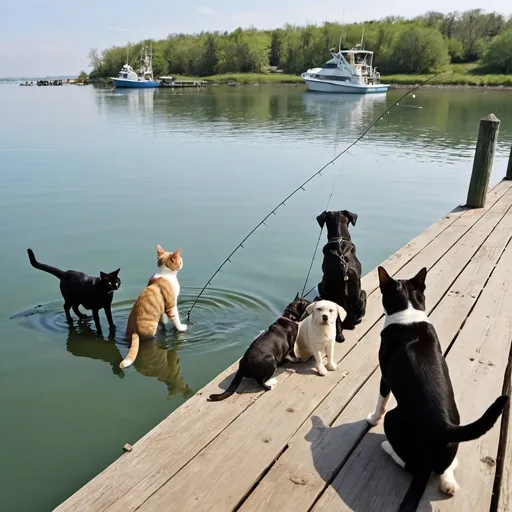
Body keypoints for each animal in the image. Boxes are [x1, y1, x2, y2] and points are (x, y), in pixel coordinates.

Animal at [368, 266, 508, 510]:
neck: (408, 311)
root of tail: (444, 427)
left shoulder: (385, 377)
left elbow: (380, 402)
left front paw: (372, 418)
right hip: (452, 438)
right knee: (444, 468)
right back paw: (449, 482)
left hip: (394, 419)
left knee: (410, 465)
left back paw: (387, 447)